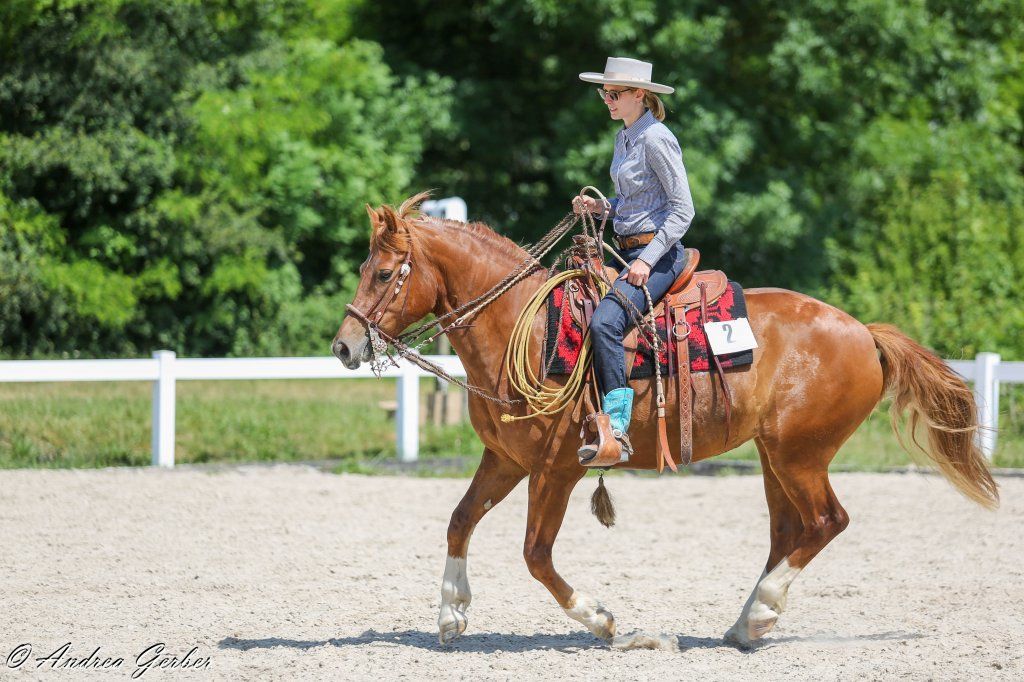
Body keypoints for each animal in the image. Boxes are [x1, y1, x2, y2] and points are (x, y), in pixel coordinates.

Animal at [332, 192, 998, 648]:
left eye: (384, 273)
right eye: (363, 269)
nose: (343, 346)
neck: (527, 327)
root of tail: (864, 332)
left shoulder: (555, 470)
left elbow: (535, 555)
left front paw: (604, 622)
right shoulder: (506, 459)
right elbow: (460, 519)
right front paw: (451, 613)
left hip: (800, 454)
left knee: (825, 521)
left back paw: (760, 612)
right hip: (774, 456)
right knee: (789, 531)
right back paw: (745, 623)